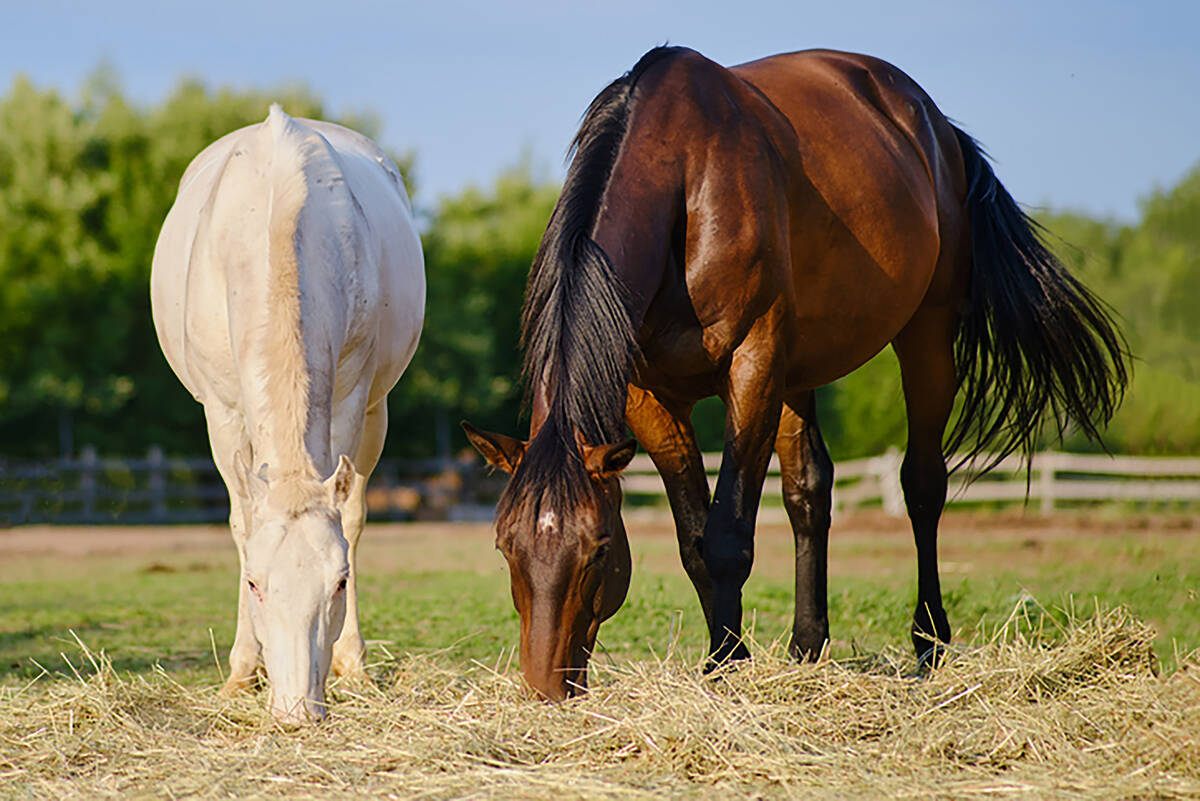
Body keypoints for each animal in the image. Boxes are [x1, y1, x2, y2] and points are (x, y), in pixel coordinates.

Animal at [149, 103, 424, 724]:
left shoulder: (351, 398)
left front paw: (351, 665)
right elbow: (242, 521)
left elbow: (347, 517)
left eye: (340, 583)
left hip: (378, 411)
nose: (298, 711)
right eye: (255, 583)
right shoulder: (223, 413)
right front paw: (242, 671)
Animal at [458, 47, 1123, 700]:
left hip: (924, 336)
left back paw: (929, 641)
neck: (684, 180)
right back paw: (807, 647)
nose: (547, 688)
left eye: (598, 549)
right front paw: (731, 656)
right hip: (798, 373)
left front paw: (726, 667)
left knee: (922, 485)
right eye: (505, 547)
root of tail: (934, 125)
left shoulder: (752, 365)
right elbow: (694, 541)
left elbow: (726, 536)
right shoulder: (652, 398)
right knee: (809, 489)